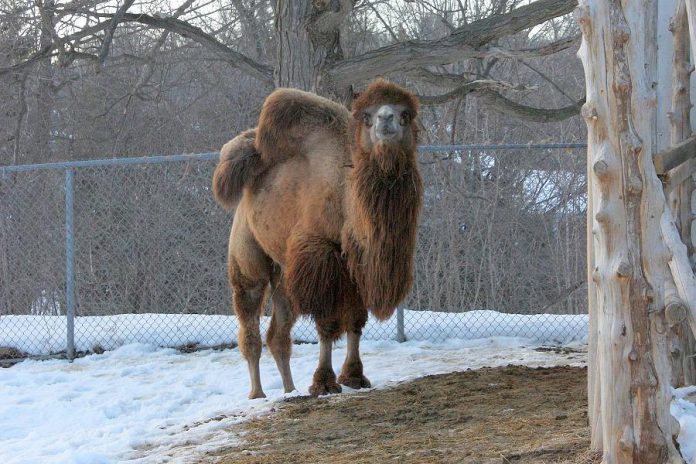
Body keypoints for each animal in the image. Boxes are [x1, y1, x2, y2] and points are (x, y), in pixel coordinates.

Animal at [209, 80, 422, 398]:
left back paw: (289, 390)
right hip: (247, 252)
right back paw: (258, 393)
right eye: (367, 116)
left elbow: (356, 320)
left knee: (279, 333)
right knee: (250, 320)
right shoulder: (321, 255)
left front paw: (355, 376)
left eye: (405, 114)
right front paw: (324, 382)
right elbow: (328, 323)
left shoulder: (356, 264)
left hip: (284, 273)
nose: (386, 120)